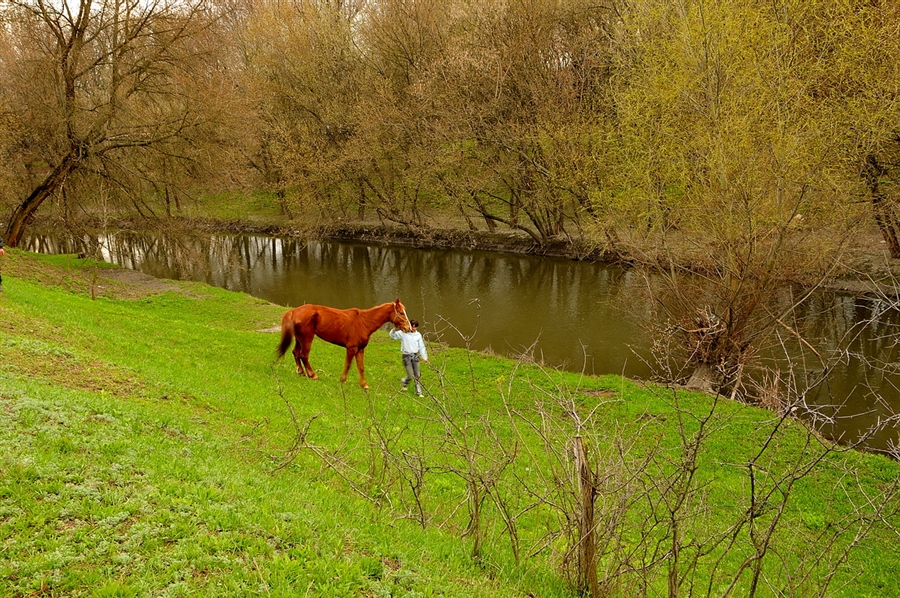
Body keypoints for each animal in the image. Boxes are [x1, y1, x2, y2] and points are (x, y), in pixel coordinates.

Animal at [276, 298, 414, 392]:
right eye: (401, 313)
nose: (409, 328)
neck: (364, 322)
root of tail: (294, 311)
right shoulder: (351, 348)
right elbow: (347, 364)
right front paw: (343, 380)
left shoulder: (360, 349)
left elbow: (361, 367)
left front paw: (364, 385)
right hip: (307, 339)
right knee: (304, 356)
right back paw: (313, 375)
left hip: (300, 339)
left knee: (296, 352)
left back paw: (301, 372)